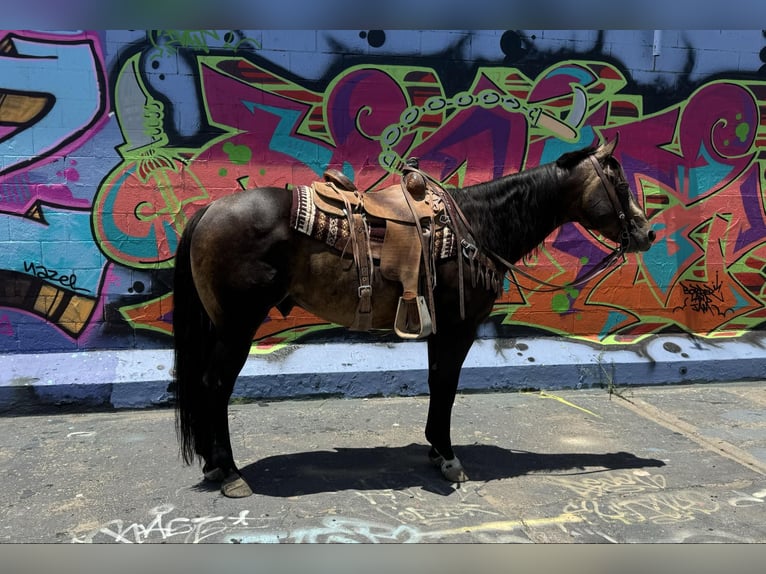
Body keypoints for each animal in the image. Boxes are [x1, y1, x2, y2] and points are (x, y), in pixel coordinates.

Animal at [171, 137, 656, 498]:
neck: (478, 226)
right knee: (216, 385)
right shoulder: (459, 327)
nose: (646, 232)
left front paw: (435, 450)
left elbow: (435, 381)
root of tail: (209, 211)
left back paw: (214, 466)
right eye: (620, 184)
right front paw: (448, 456)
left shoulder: (439, 328)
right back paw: (230, 472)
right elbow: (447, 385)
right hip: (238, 326)